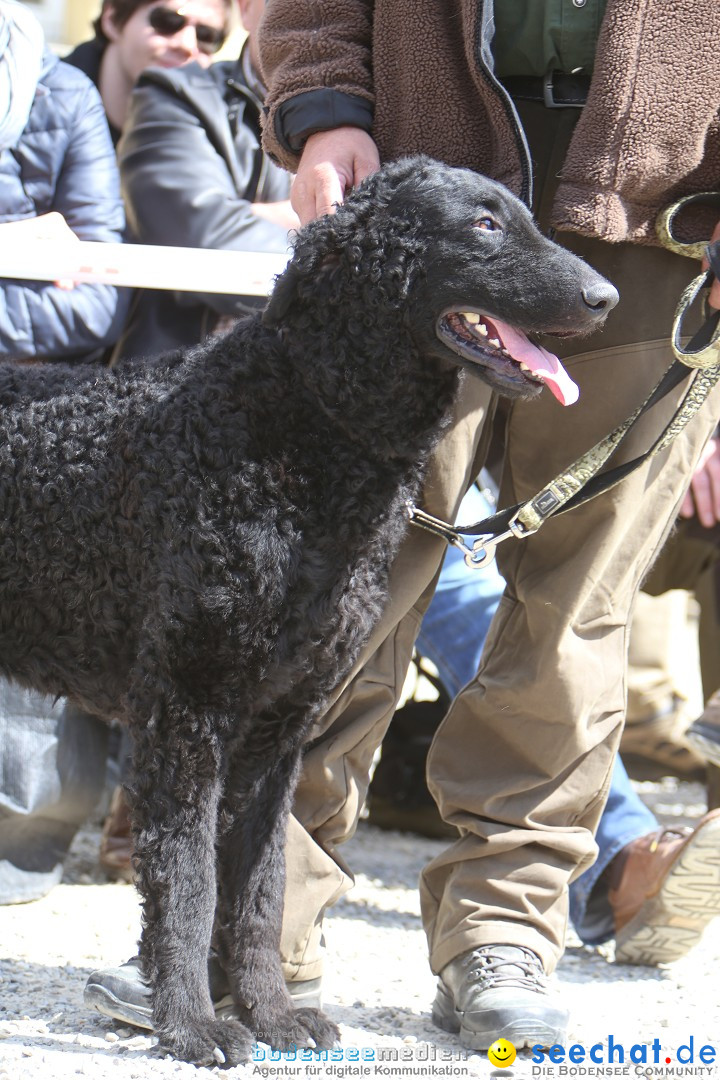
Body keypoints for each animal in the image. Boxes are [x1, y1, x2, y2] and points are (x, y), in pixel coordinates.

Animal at [1, 156, 621, 1067]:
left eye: (530, 218)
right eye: (483, 226)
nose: (606, 297)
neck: (303, 422)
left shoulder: (279, 727)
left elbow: (260, 890)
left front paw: (271, 1013)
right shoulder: (185, 715)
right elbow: (190, 886)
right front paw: (192, 1025)